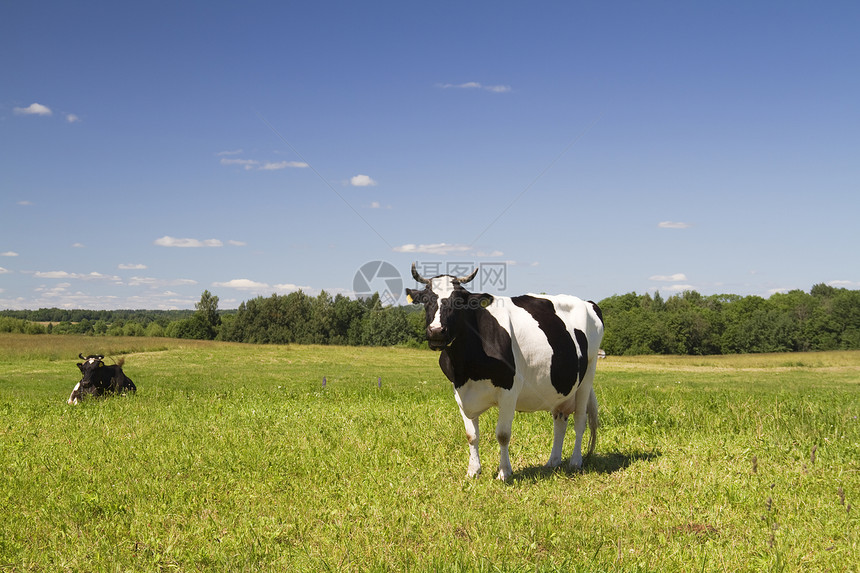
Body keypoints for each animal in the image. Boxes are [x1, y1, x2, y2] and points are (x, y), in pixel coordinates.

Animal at [404, 264, 600, 478]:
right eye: (425, 300)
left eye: (459, 301)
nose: (436, 332)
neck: (468, 368)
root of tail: (588, 302)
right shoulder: (460, 392)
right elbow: (471, 435)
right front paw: (473, 471)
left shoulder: (509, 390)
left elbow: (503, 435)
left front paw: (504, 472)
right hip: (561, 386)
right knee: (560, 420)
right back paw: (553, 461)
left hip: (587, 375)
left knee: (580, 421)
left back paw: (575, 462)